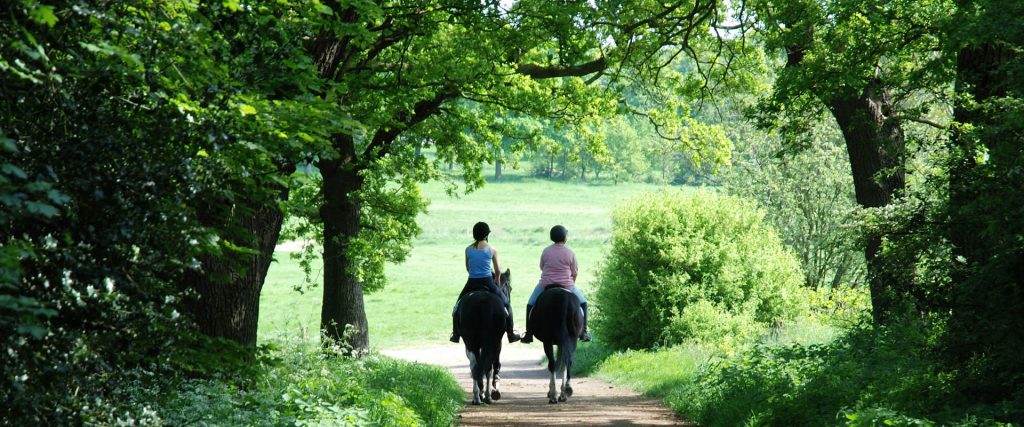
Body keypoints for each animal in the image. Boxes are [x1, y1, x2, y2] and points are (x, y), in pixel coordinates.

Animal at [454, 268, 509, 403]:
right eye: (509, 288)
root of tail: (483, 301)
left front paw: (481, 391)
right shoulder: (498, 343)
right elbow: (495, 364)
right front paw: (494, 387)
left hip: (471, 341)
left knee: (475, 365)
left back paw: (478, 396)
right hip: (489, 341)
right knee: (486, 366)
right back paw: (486, 396)